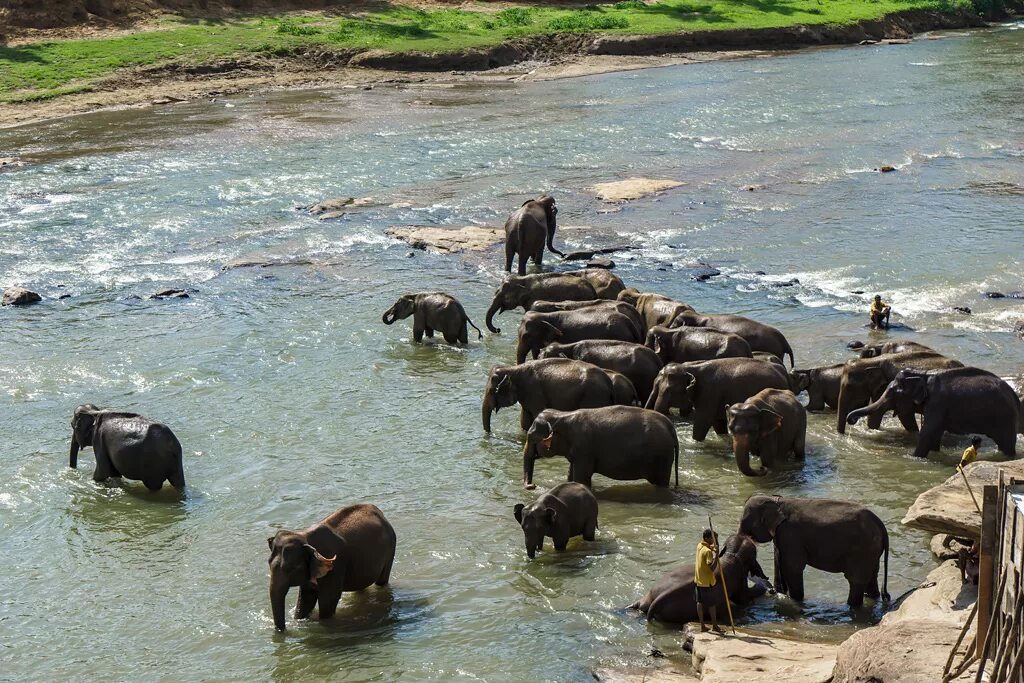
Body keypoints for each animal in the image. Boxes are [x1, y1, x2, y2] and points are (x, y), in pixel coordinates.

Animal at [479, 358, 614, 432]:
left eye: (491, 391)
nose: (489, 434)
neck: (514, 369)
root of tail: (609, 382)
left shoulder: (535, 393)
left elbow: (536, 414)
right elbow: (525, 420)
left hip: (593, 396)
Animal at [647, 358, 790, 444]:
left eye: (668, 390)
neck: (690, 366)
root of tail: (784, 373)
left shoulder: (709, 394)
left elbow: (702, 423)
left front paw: (695, 442)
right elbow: (717, 424)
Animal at [737, 493, 888, 606]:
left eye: (744, 523)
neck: (776, 500)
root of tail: (880, 523)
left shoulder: (790, 535)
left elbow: (792, 567)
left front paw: (795, 600)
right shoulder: (781, 536)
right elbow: (779, 562)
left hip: (863, 551)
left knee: (856, 580)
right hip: (871, 551)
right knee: (871, 577)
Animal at [843, 366, 1019, 456]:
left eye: (893, 393)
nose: (851, 419)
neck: (924, 375)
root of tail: (1014, 395)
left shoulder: (937, 403)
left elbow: (928, 432)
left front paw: (912, 457)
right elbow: (934, 435)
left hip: (1004, 417)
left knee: (1007, 443)